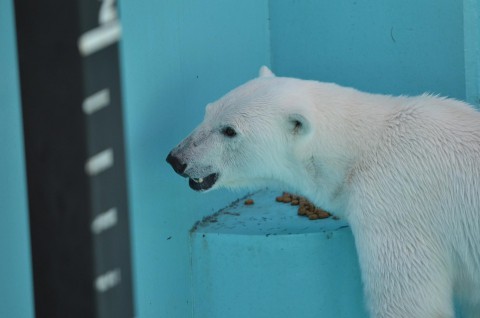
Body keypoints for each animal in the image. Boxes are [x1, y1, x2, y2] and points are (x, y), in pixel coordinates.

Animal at [166, 66, 480, 316]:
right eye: (207, 112)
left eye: (229, 130)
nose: (176, 159)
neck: (358, 149)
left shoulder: (394, 205)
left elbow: (409, 301)